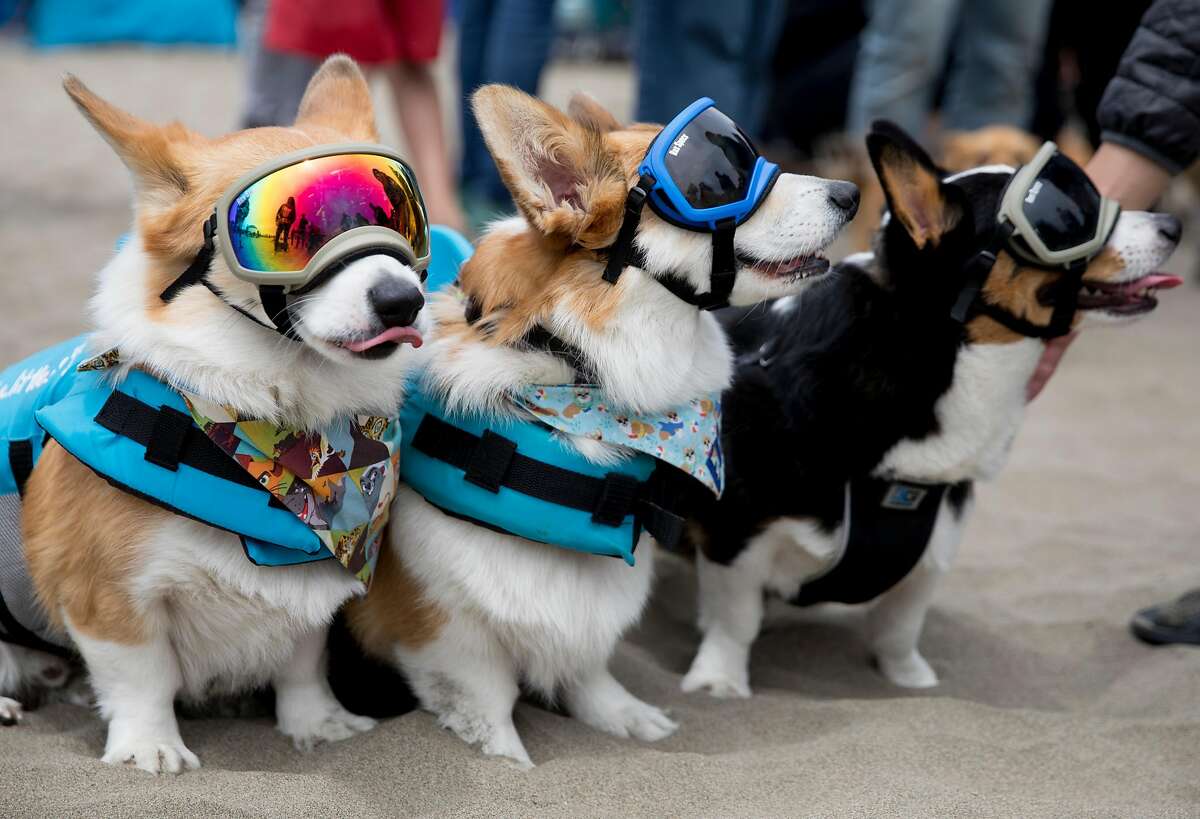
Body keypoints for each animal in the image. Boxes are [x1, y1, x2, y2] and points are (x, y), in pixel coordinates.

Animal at [1, 57, 427, 773]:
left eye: (399, 219)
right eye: (291, 235)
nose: (404, 300)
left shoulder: (310, 594)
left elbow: (303, 664)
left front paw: (317, 725)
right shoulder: (107, 593)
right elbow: (141, 674)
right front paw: (151, 746)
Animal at [343, 85, 859, 763]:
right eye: (715, 181)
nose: (851, 193)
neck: (572, 371)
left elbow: (590, 666)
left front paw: (624, 715)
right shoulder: (449, 628)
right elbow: (487, 699)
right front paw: (510, 758)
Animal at [686, 121, 1180, 696]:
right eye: (1063, 219)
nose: (1173, 226)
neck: (933, 350)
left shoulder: (934, 539)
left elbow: (901, 626)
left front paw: (909, 679)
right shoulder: (736, 534)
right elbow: (735, 620)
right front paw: (719, 682)